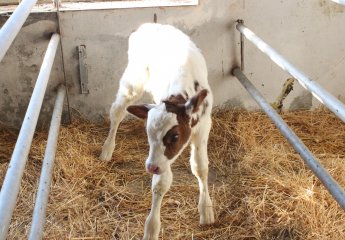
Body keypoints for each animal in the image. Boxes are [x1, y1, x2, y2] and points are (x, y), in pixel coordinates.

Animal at [98, 23, 214, 240]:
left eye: (175, 136)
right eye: (149, 135)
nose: (151, 167)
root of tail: (151, 24)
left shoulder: (203, 127)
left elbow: (200, 167)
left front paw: (206, 209)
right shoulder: (160, 158)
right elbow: (160, 184)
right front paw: (152, 228)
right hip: (132, 81)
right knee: (117, 112)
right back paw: (107, 150)